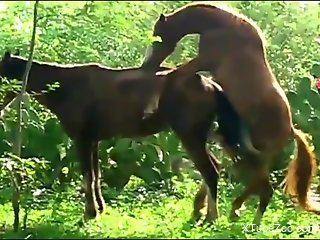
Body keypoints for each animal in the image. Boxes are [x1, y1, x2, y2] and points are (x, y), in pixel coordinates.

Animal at [0, 49, 245, 222]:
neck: (66, 87)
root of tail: (209, 84)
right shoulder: (93, 140)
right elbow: (95, 175)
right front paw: (99, 209)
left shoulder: (82, 139)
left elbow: (87, 176)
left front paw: (90, 213)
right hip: (200, 137)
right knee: (214, 167)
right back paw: (198, 212)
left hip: (190, 136)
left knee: (210, 171)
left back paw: (210, 218)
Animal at [141, 1, 320, 224]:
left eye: (157, 36)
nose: (146, 64)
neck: (220, 26)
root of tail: (290, 130)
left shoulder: (202, 61)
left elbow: (172, 72)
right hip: (245, 153)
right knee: (255, 185)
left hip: (253, 156)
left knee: (262, 188)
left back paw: (236, 213)